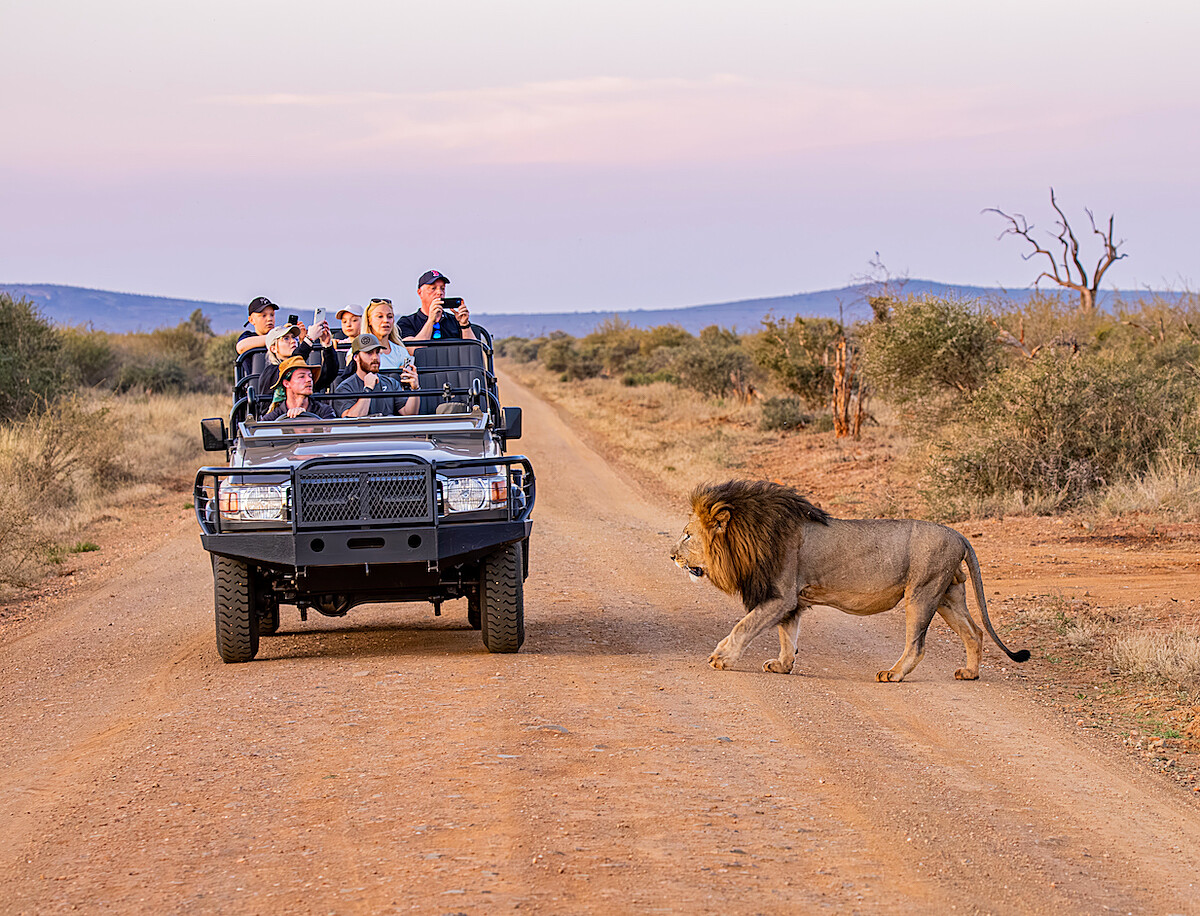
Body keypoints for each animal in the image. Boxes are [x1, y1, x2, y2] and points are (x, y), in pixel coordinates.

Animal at [670, 479, 1030, 681]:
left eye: (687, 535)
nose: (671, 555)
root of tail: (959, 534)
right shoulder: (791, 601)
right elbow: (787, 636)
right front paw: (783, 666)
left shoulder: (781, 596)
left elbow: (744, 626)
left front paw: (721, 658)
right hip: (948, 595)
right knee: (975, 633)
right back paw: (970, 673)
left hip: (922, 594)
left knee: (917, 644)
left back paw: (893, 674)